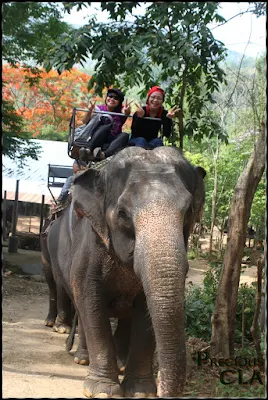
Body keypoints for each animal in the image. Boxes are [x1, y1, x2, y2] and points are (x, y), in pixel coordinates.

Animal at [40, 146, 206, 396]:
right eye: (123, 214)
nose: (162, 386)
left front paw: (140, 391)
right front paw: (101, 390)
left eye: (188, 212)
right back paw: (78, 354)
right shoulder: (90, 245)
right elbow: (90, 302)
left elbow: (145, 310)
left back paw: (119, 363)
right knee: (65, 292)